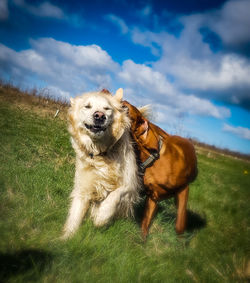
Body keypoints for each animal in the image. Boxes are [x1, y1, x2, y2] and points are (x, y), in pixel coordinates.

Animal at [62, 89, 141, 240]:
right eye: (87, 106)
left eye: (107, 108)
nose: (99, 116)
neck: (101, 153)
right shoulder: (83, 188)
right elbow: (74, 216)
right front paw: (65, 238)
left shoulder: (130, 184)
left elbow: (115, 195)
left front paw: (101, 216)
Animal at [122, 101, 197, 239]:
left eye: (126, 108)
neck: (153, 159)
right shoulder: (153, 198)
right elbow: (145, 222)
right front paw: (142, 239)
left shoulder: (184, 189)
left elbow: (180, 224)